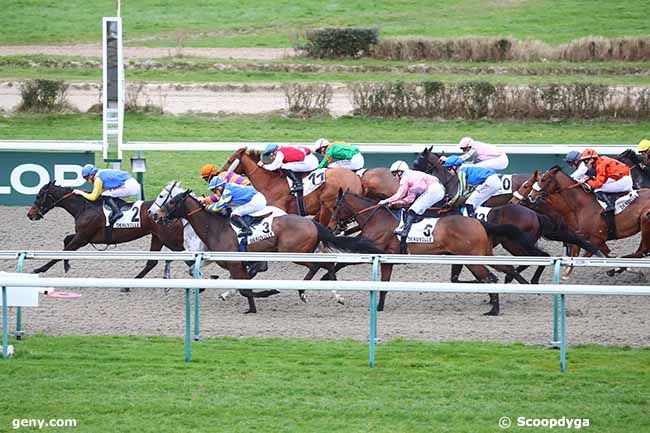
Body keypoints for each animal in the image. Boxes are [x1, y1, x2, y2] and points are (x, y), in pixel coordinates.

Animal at [26, 180, 185, 278]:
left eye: (39, 196)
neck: (85, 207)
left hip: (171, 240)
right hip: (158, 237)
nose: (30, 214)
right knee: (152, 262)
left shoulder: (82, 238)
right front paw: (66, 265)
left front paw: (39, 269)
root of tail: (173, 213)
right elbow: (66, 240)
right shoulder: (83, 236)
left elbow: (62, 252)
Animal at [147, 181, 380, 312]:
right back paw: (329, 294)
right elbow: (237, 284)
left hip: (294, 252)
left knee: (317, 266)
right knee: (327, 266)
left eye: (168, 200)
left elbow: (245, 289)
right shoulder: (230, 262)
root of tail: (312, 222)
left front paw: (265, 295)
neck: (215, 227)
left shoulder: (236, 264)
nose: (154, 214)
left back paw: (307, 292)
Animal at [221, 148, 364, 226]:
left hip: (328, 206)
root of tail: (356, 178)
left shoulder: (278, 208)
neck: (270, 182)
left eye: (229, 161)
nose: (218, 173)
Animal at [332, 189, 536, 314]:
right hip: (483, 255)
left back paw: (494, 309)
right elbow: (383, 286)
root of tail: (478, 222)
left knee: (490, 278)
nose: (333, 226)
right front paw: (379, 307)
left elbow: (340, 264)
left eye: (335, 206)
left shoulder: (370, 251)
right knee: (505, 269)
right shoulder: (386, 260)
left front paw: (333, 287)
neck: (377, 219)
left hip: (472, 260)